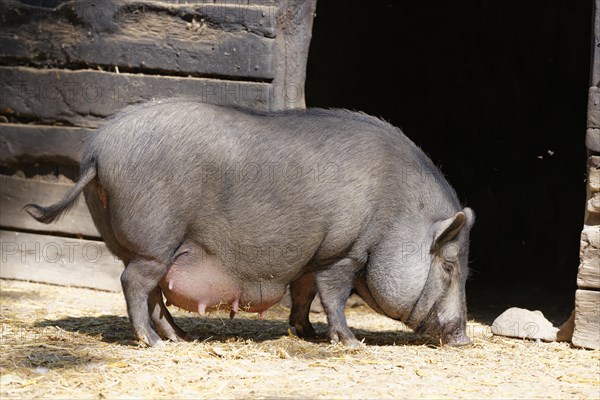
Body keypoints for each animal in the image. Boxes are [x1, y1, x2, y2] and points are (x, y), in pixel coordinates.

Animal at [25, 99, 474, 346]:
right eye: (450, 267)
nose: (464, 337)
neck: (397, 216)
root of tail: (96, 151)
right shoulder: (342, 252)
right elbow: (333, 295)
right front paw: (351, 342)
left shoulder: (310, 256)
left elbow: (303, 294)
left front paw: (306, 335)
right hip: (155, 240)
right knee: (134, 284)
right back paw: (153, 344)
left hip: (138, 246)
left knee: (151, 293)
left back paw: (181, 339)